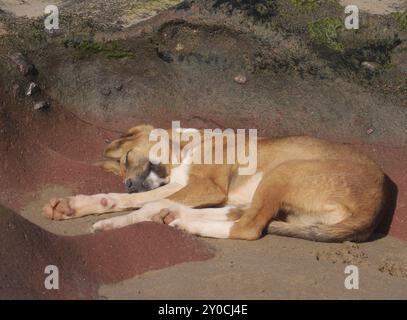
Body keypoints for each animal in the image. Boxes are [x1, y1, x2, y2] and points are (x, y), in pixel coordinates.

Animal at [42, 125, 388, 242]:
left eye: (127, 158)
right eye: (122, 169)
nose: (128, 183)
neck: (188, 147)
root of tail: (375, 207)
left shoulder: (207, 187)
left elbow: (149, 203)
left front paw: (115, 223)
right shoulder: (182, 184)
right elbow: (139, 200)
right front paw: (82, 205)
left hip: (283, 171)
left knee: (249, 227)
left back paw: (189, 224)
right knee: (240, 215)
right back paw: (178, 218)